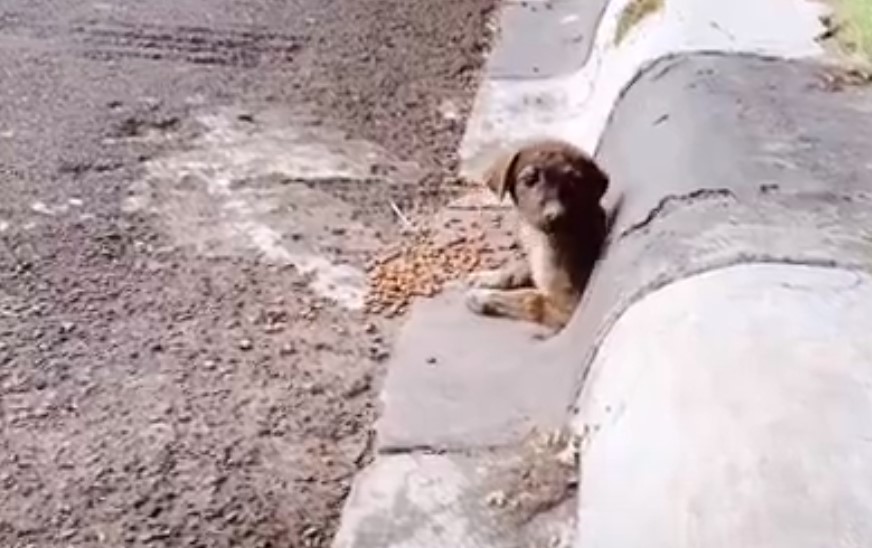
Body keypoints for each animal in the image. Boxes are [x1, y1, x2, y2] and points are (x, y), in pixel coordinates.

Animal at [466, 139, 608, 332]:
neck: (541, 237)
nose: (555, 215)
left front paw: (484, 297)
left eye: (573, 182)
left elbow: (530, 299)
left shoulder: (566, 306)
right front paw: (490, 277)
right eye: (529, 180)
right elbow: (521, 267)